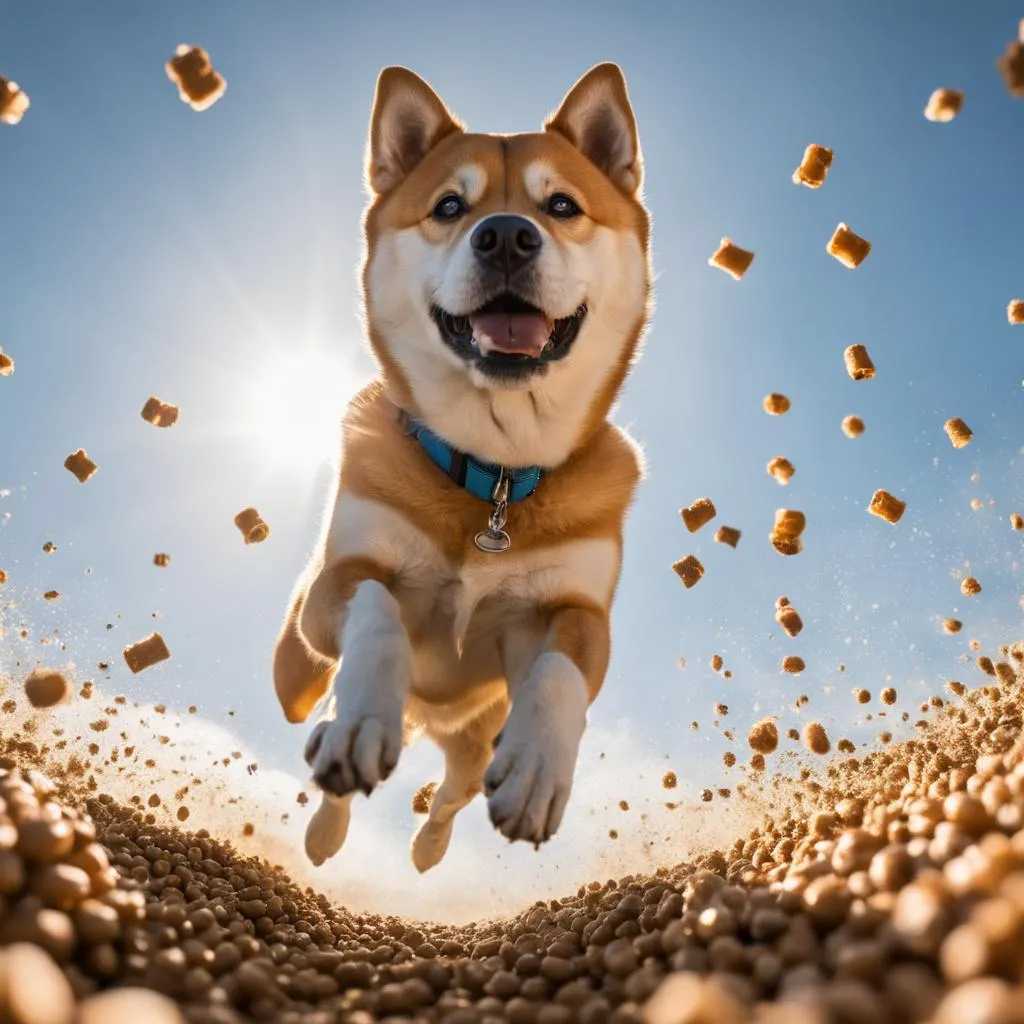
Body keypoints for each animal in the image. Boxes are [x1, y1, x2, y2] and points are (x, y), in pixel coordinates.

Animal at [272, 59, 651, 872]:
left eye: (562, 205)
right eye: (449, 205)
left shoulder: (577, 612)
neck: (494, 474)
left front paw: (537, 769)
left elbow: (560, 672)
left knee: (456, 787)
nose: (506, 235)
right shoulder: (338, 584)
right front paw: (362, 716)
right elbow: (378, 609)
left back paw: (430, 844)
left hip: (472, 741)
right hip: (295, 665)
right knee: (325, 737)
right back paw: (332, 789)